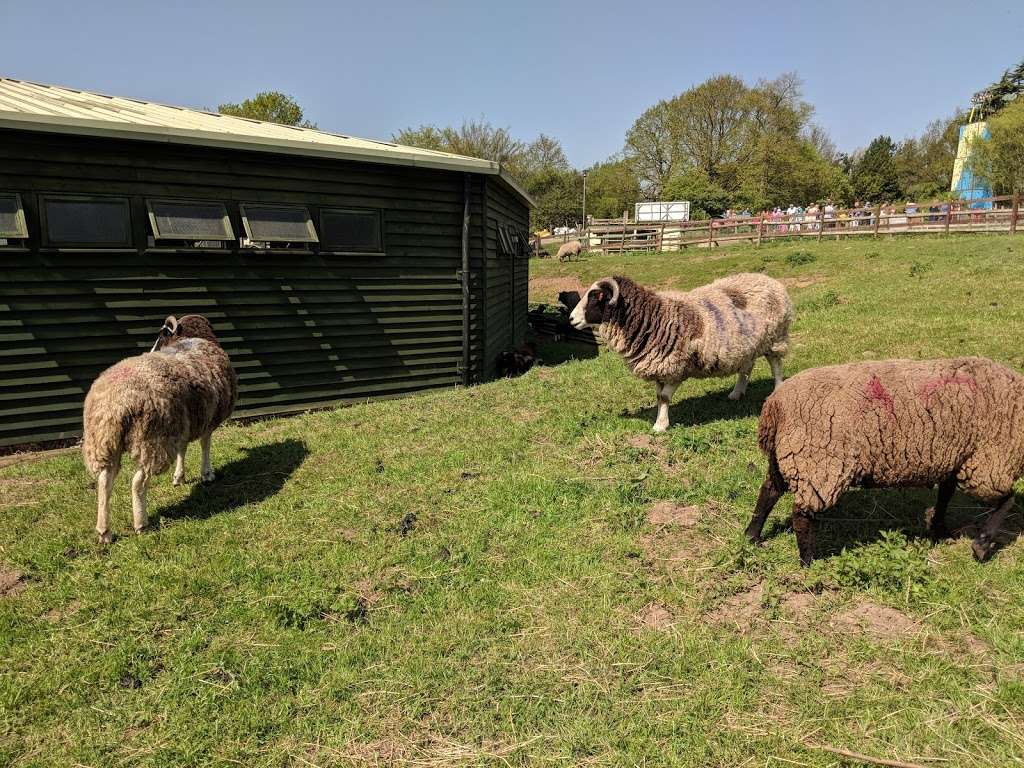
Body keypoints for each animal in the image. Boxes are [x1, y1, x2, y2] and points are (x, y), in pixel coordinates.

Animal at [81, 315, 237, 544]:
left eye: (161, 335)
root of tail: (116, 403)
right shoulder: (207, 419)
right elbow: (205, 444)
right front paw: (207, 474)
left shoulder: (182, 424)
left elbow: (183, 449)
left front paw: (179, 476)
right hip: (152, 440)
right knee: (138, 482)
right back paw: (141, 523)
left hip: (104, 441)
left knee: (104, 482)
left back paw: (104, 531)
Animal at [569, 274, 790, 434]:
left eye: (595, 297)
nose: (571, 319)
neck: (654, 317)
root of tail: (770, 280)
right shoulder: (659, 368)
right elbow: (659, 396)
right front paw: (660, 420)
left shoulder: (676, 367)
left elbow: (665, 397)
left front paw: (660, 426)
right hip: (747, 345)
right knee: (747, 367)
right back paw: (736, 393)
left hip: (775, 336)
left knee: (775, 365)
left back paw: (777, 389)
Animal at [745, 360, 1024, 565]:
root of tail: (775, 404)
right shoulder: (989, 462)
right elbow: (1007, 500)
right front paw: (982, 545)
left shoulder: (956, 458)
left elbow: (945, 495)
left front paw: (939, 528)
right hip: (819, 462)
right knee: (801, 513)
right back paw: (808, 561)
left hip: (787, 455)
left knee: (768, 491)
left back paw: (753, 536)